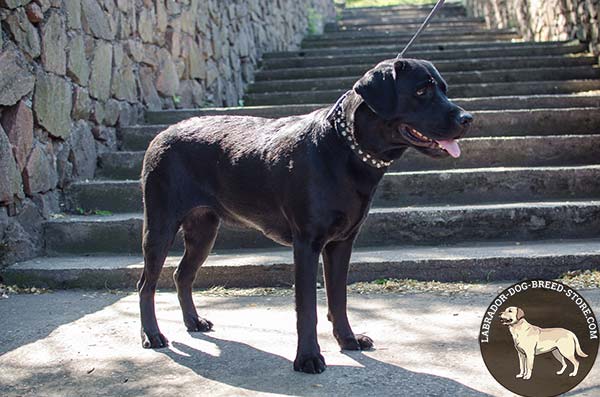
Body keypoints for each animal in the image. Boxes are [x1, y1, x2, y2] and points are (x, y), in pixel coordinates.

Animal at [138, 57, 472, 372]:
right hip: (160, 226)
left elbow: (339, 297)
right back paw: (152, 335)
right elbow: (307, 307)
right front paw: (308, 358)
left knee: (182, 275)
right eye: (421, 90)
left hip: (204, 231)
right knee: (147, 285)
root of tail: (160, 135)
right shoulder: (307, 243)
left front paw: (348, 340)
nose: (467, 119)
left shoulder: (341, 243)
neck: (343, 148)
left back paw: (193, 322)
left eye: (444, 89)